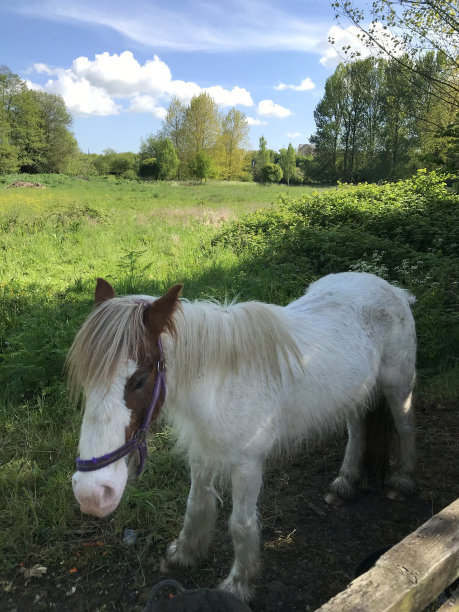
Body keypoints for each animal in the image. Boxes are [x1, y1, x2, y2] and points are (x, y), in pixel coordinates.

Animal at [70, 274, 418, 604]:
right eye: (85, 380)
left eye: (140, 380)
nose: (92, 494)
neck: (219, 385)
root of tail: (391, 288)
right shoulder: (202, 454)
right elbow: (195, 505)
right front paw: (183, 555)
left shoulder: (247, 466)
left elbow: (241, 524)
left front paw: (238, 585)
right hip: (356, 395)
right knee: (357, 431)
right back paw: (345, 484)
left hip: (397, 387)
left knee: (405, 428)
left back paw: (401, 482)